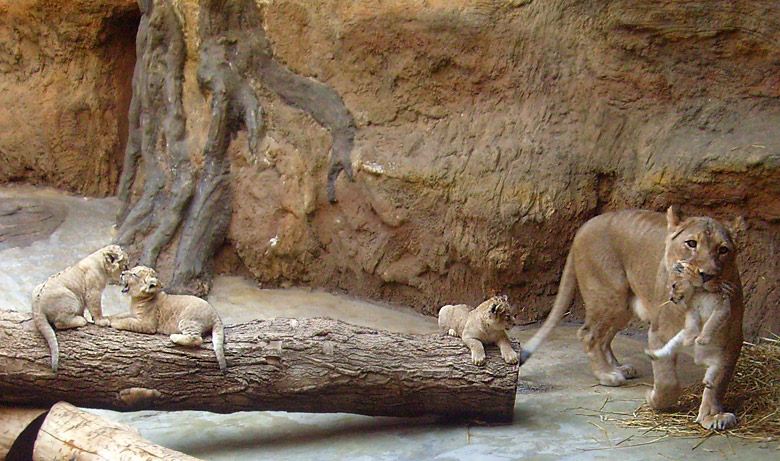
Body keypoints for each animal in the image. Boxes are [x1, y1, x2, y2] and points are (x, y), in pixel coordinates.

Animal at [516, 207, 744, 430]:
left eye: (723, 249)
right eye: (691, 243)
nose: (707, 274)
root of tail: (585, 226)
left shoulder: (731, 342)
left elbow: (718, 382)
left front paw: (712, 416)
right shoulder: (659, 334)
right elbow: (667, 381)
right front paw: (654, 400)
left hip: (623, 305)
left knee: (604, 338)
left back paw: (618, 368)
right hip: (609, 296)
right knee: (588, 334)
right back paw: (607, 375)